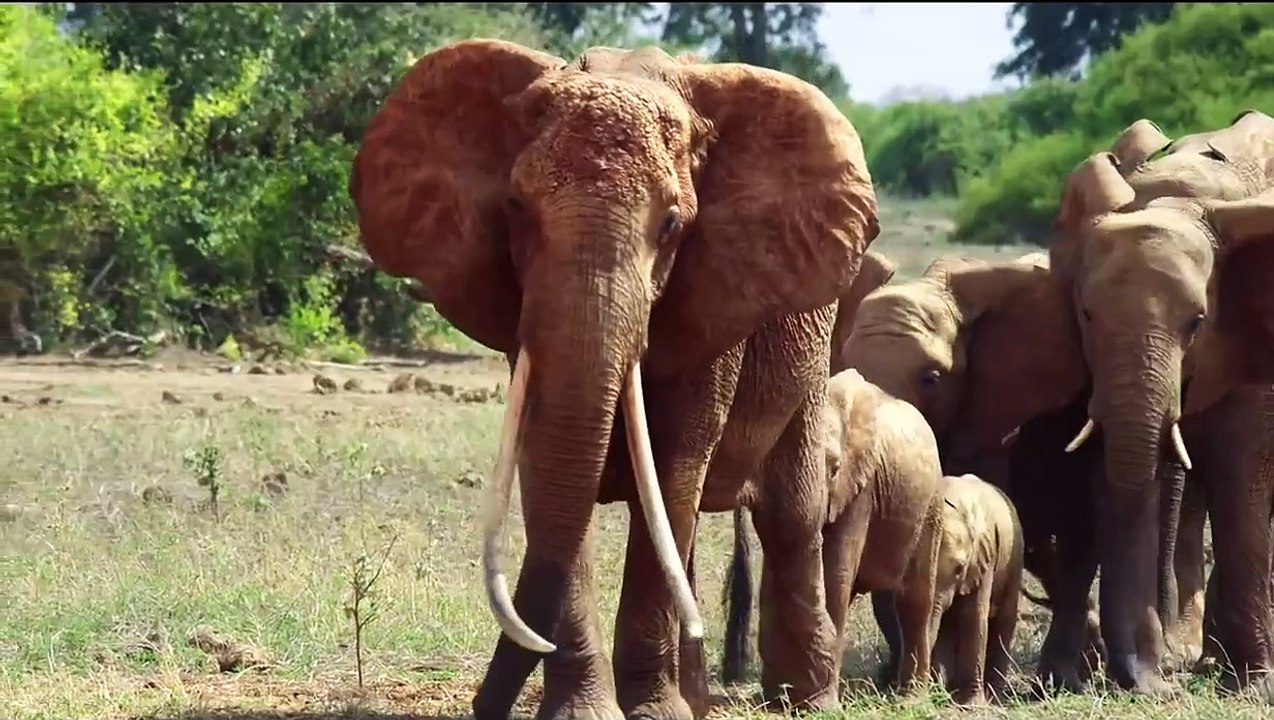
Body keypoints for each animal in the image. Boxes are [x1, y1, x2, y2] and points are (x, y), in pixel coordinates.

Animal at [348, 40, 880, 720]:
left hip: (813, 354)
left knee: (791, 517)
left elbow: (676, 469)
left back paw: (805, 703)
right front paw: (586, 712)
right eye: (515, 209)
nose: (480, 707)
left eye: (673, 225)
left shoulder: (714, 300)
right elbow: (547, 467)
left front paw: (655, 714)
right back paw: (701, 697)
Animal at [925, 472, 1026, 706]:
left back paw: (995, 698)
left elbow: (973, 617)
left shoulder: (985, 555)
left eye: (959, 569)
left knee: (1003, 622)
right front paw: (938, 694)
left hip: (1014, 560)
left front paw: (970, 705)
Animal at [1050, 109, 1274, 696]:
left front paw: (1254, 685)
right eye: (1086, 315)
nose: (1140, 680)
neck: (1175, 195)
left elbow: (1244, 476)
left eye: (1197, 321)